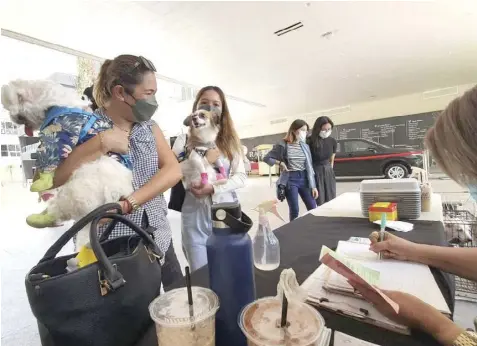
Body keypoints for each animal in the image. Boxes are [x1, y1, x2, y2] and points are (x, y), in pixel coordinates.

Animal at [1, 79, 133, 249]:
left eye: (19, 99)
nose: (14, 117)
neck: (52, 101)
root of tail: (117, 191)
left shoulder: (62, 128)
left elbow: (51, 151)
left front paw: (42, 180)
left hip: (77, 192)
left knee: (60, 210)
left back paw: (38, 220)